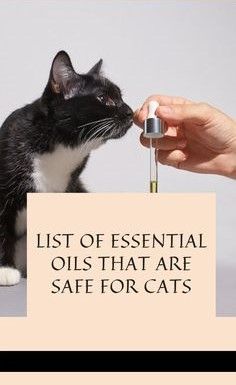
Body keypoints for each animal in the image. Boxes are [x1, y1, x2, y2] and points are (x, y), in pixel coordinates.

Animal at [0, 50, 133, 284]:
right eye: (103, 98)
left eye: (120, 97)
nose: (130, 112)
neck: (62, 147)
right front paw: (4, 269)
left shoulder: (68, 187)